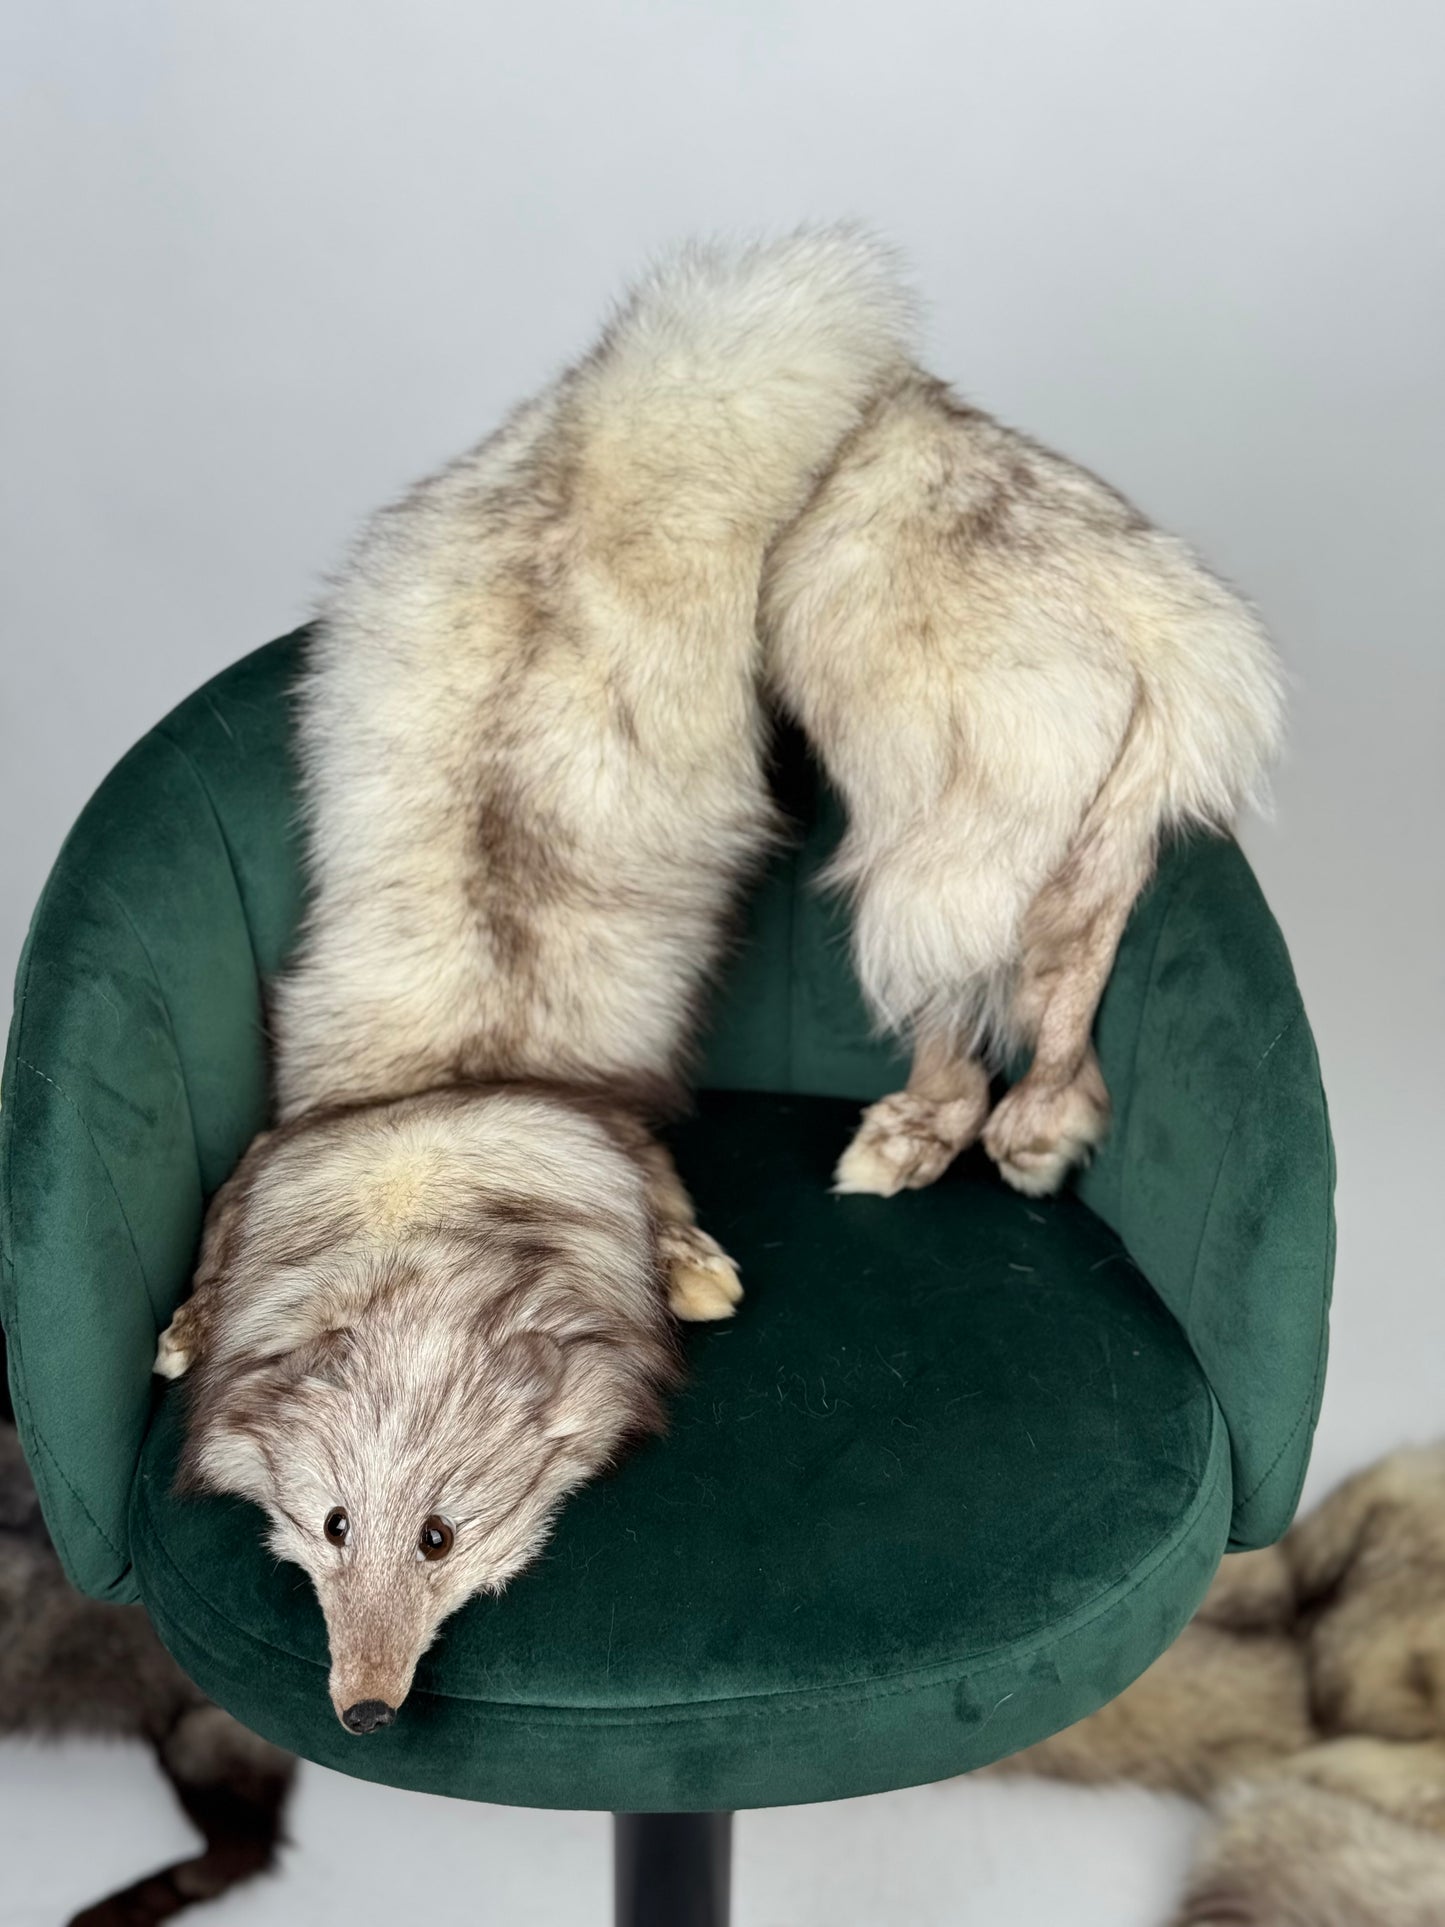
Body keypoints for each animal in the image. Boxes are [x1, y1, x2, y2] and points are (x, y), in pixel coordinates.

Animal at [154, 227, 918, 1733]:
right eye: (331, 1524)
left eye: (441, 1535)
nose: (365, 1714)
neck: (438, 1146)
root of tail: (592, 429)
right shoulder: (267, 1171)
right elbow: (210, 1264)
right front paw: (185, 1323)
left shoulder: (617, 1139)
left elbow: (666, 1201)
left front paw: (695, 1267)